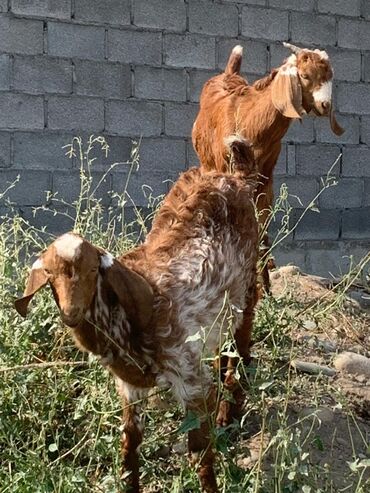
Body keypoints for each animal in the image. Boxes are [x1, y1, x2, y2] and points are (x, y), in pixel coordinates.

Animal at [14, 137, 258, 492]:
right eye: (49, 274)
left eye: (92, 270)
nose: (71, 313)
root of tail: (234, 177)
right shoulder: (129, 386)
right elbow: (129, 442)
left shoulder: (189, 376)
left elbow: (200, 453)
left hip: (246, 285)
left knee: (242, 339)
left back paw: (230, 408)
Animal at [192, 42, 346, 292]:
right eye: (304, 75)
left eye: (330, 76)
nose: (325, 105)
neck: (251, 120)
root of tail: (227, 74)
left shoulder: (266, 181)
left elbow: (262, 229)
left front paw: (265, 288)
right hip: (206, 163)